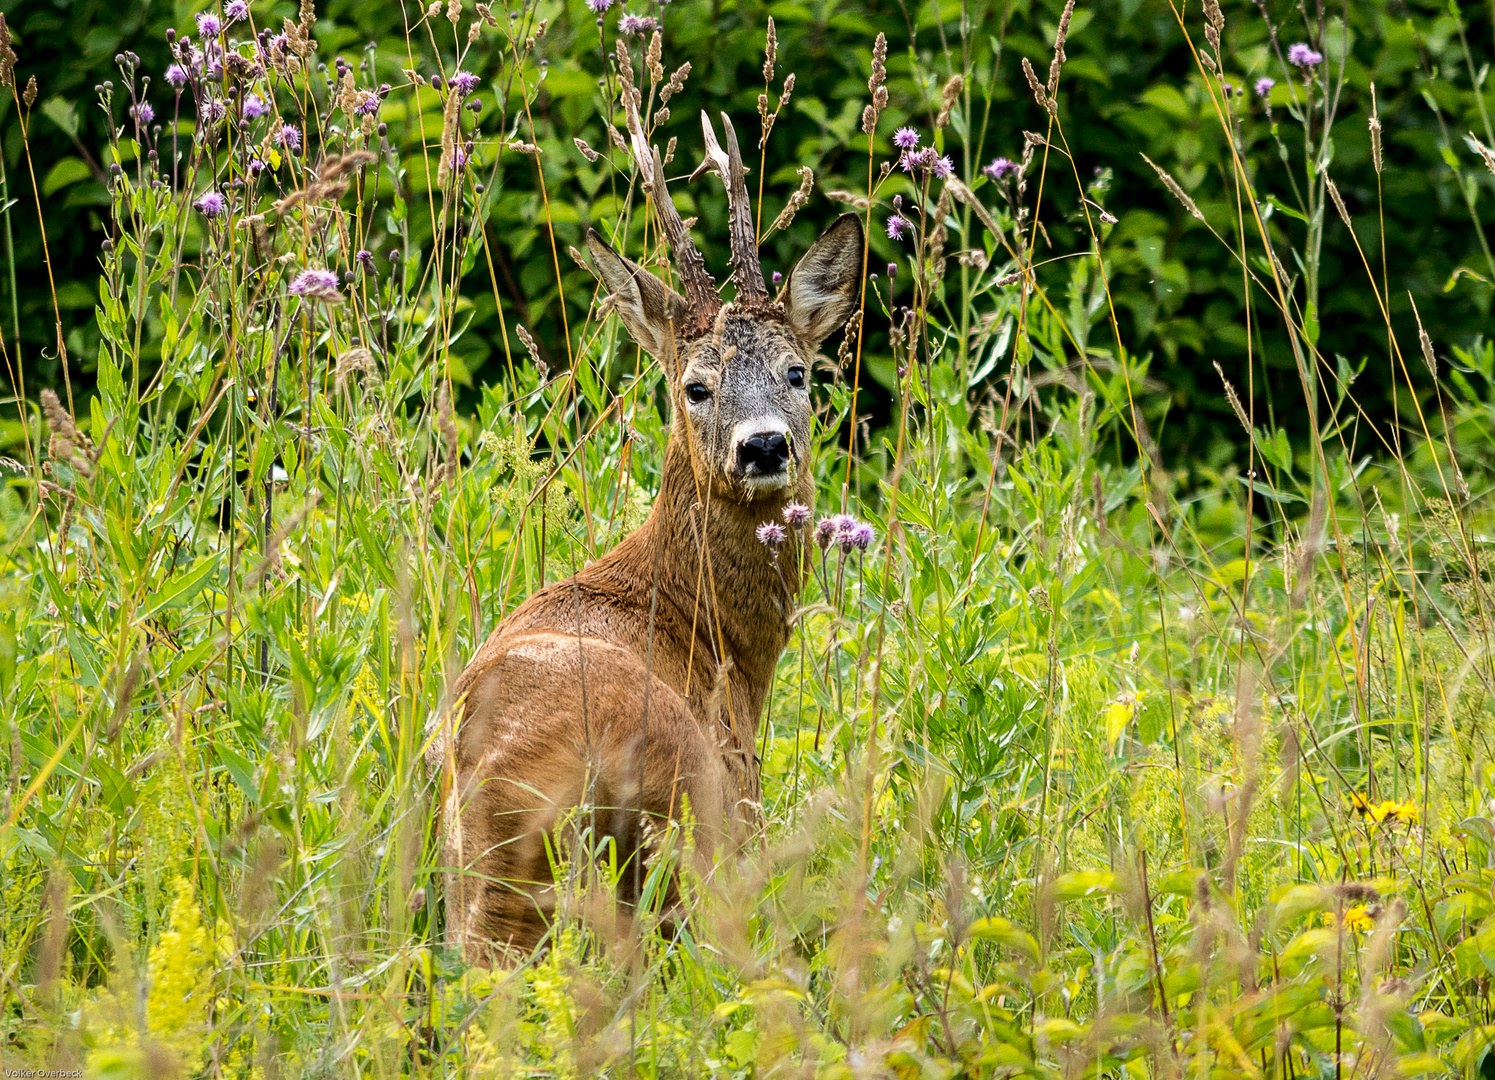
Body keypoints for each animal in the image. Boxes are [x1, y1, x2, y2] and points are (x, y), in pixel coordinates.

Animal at [427, 103, 867, 957]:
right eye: (695, 386)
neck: (710, 631)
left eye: (798, 372)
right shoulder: (739, 778)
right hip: (694, 815)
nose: (763, 446)